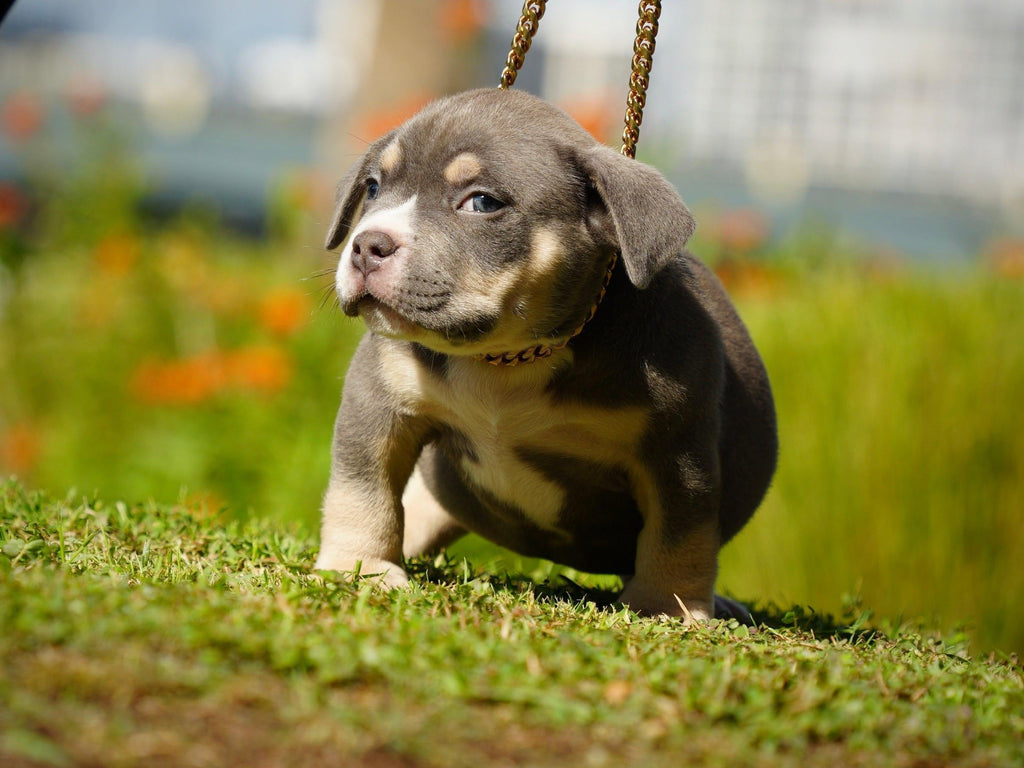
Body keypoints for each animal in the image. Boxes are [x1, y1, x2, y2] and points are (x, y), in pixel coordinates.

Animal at [313, 87, 774, 622]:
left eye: (482, 203)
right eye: (372, 188)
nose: (367, 245)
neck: (506, 355)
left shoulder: (677, 451)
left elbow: (680, 534)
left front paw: (668, 605)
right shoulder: (377, 403)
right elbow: (363, 490)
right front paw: (356, 567)